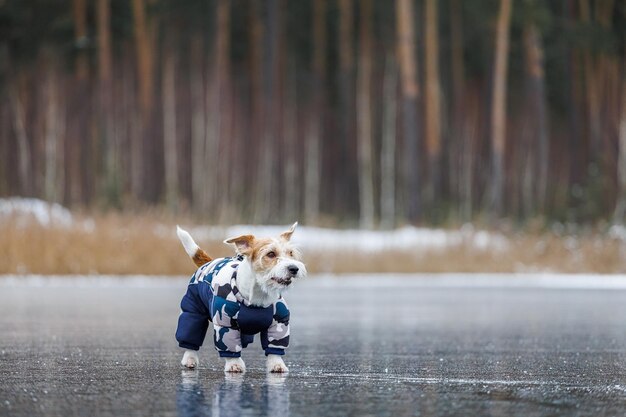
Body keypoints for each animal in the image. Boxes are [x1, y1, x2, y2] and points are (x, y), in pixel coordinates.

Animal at [174, 223, 306, 372]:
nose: (294, 268)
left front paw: (277, 364)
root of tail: (209, 262)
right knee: (191, 335)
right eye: (271, 254)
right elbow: (230, 347)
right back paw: (189, 358)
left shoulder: (279, 323)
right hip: (193, 311)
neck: (258, 296)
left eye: (291, 253)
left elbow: (274, 348)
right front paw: (234, 364)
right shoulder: (225, 323)